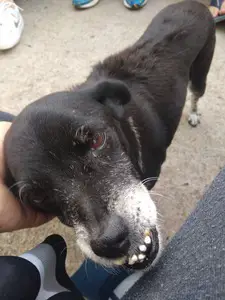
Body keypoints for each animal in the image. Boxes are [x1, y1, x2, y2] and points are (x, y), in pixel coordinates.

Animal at [3, 1, 214, 270]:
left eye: (96, 140)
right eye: (37, 197)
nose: (111, 242)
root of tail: (193, 4)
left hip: (201, 71)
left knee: (197, 94)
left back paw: (195, 114)